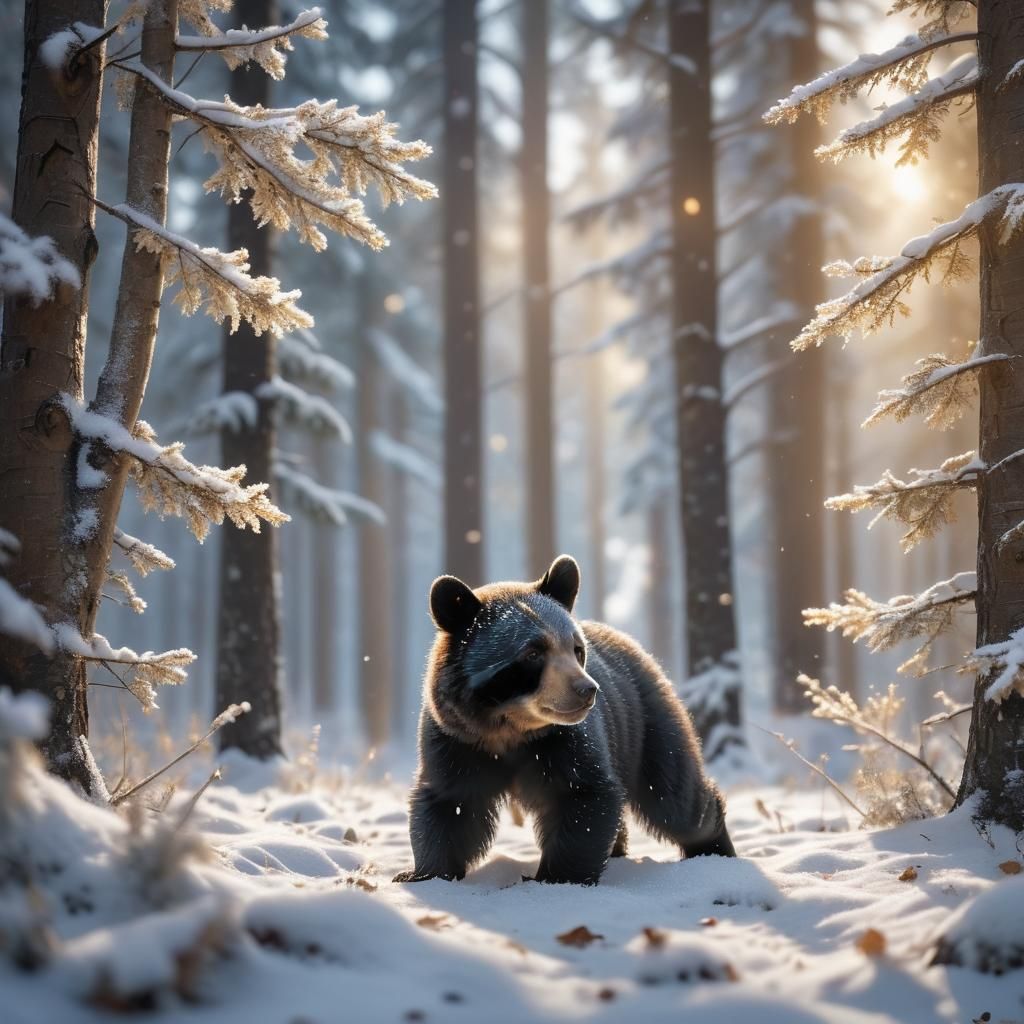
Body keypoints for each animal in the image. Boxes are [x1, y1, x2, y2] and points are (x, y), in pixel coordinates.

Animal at [393, 555, 736, 886]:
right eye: (533, 653)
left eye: (576, 649)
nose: (587, 689)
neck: (509, 730)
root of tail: (633, 645)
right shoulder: (457, 740)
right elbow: (450, 803)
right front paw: (423, 874)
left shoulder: (564, 741)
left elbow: (583, 795)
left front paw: (555, 877)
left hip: (644, 722)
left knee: (673, 796)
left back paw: (713, 850)